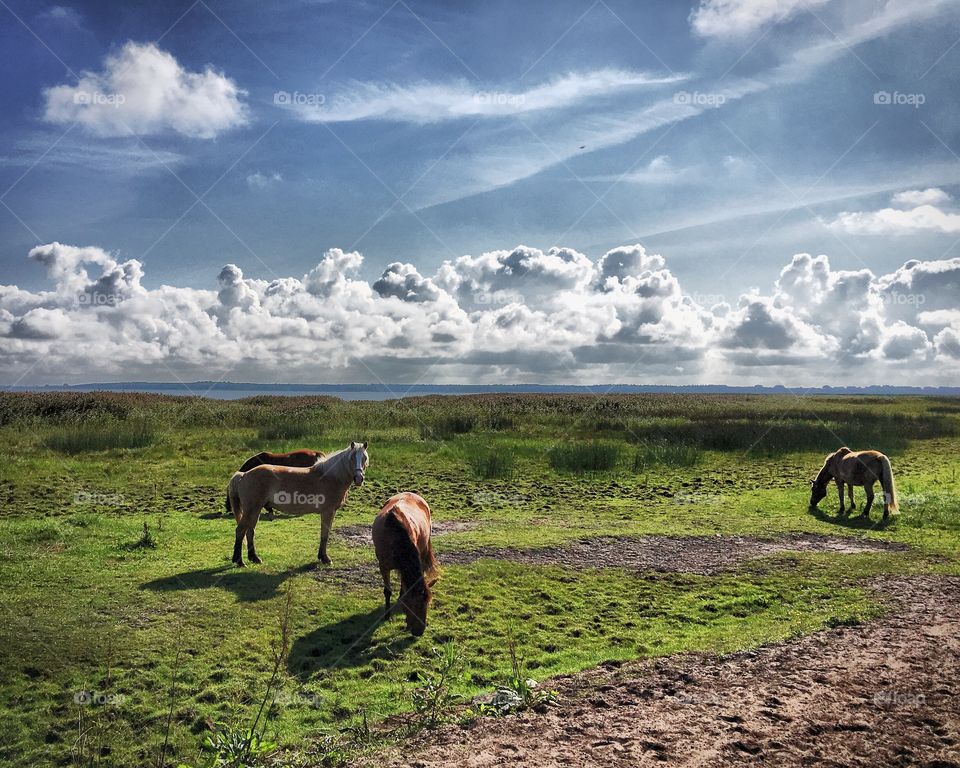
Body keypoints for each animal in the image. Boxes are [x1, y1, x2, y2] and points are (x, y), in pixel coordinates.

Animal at [227, 440, 370, 568]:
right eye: (352, 458)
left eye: (364, 458)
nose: (359, 479)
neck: (330, 476)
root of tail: (244, 474)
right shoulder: (328, 512)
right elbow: (325, 534)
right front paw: (325, 558)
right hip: (251, 509)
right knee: (240, 531)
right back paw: (239, 561)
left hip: (255, 510)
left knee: (250, 531)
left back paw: (254, 558)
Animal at [374, 492, 440, 636]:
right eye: (412, 605)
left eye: (427, 605)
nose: (419, 631)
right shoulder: (384, 567)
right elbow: (387, 591)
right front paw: (387, 616)